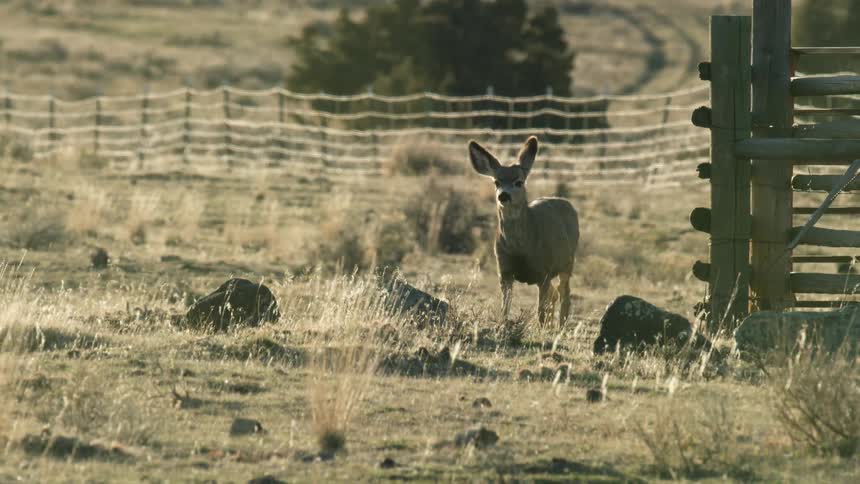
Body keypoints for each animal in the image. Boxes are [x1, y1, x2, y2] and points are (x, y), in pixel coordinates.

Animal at [468, 136, 579, 326]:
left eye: (518, 182)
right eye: (497, 182)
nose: (503, 195)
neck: (521, 248)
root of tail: (567, 203)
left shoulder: (544, 270)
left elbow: (540, 311)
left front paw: (540, 329)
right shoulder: (504, 270)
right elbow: (505, 308)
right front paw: (503, 325)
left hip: (567, 262)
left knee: (564, 293)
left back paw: (560, 326)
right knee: (555, 293)